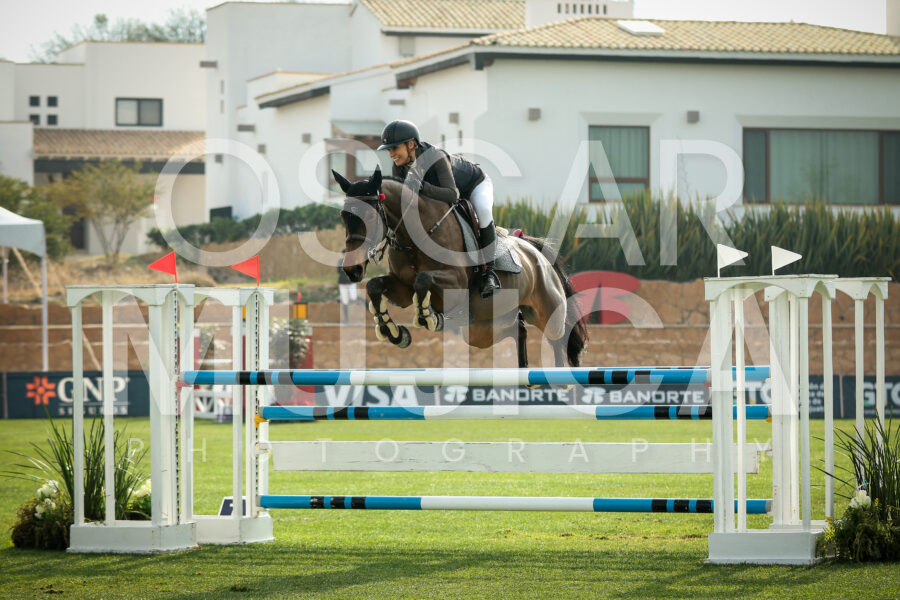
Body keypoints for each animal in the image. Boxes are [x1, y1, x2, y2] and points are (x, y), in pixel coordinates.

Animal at [335, 166, 587, 368]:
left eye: (369, 215)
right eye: (343, 216)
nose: (352, 270)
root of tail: (534, 250)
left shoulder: (455, 285)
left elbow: (423, 280)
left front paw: (429, 317)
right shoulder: (402, 288)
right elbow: (375, 286)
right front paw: (393, 331)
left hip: (548, 310)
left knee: (559, 339)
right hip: (481, 329)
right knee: (517, 329)